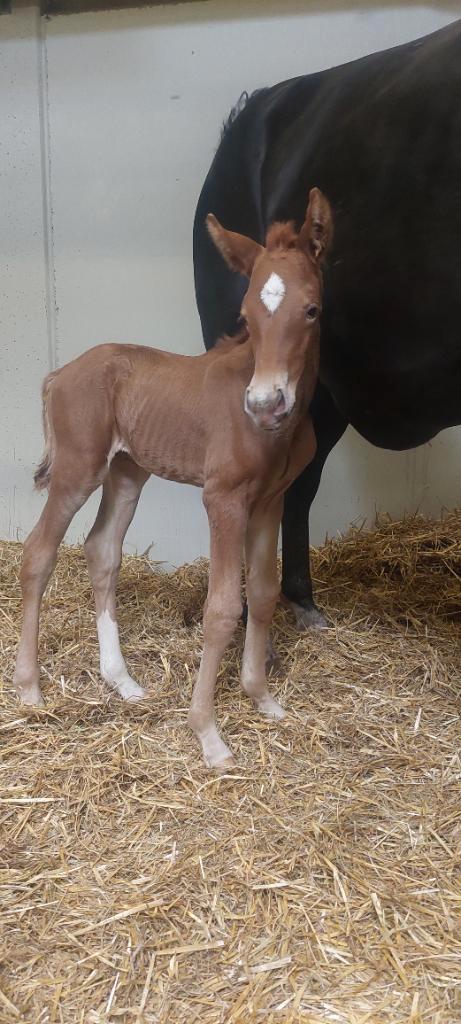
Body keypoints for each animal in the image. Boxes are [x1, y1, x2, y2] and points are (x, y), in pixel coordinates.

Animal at [13, 188, 332, 769]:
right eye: (246, 315)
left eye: (312, 309)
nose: (264, 403)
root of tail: (59, 373)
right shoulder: (224, 498)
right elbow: (224, 606)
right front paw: (209, 735)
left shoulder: (270, 500)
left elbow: (264, 592)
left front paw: (262, 699)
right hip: (78, 469)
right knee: (40, 552)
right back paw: (29, 687)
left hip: (127, 471)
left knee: (101, 549)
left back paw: (122, 682)